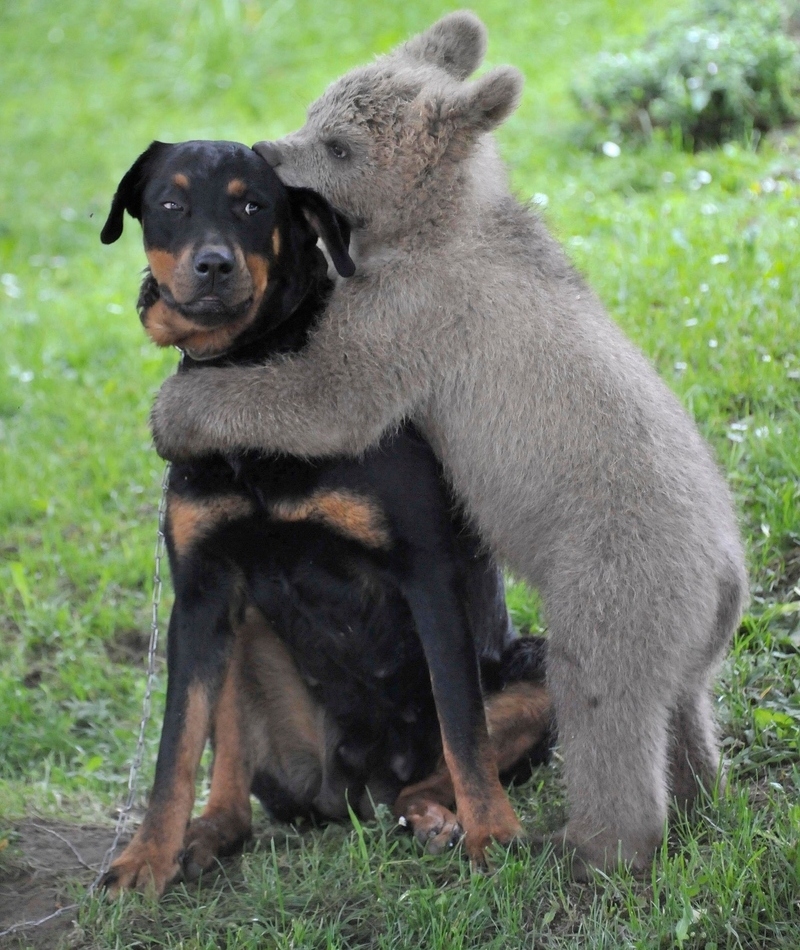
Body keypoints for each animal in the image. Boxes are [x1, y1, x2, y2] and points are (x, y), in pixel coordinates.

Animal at [98, 138, 552, 896]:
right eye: (170, 203)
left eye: (255, 205)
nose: (213, 264)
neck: (250, 376)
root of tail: (357, 789)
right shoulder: (200, 591)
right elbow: (175, 746)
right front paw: (143, 860)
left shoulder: (425, 572)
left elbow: (464, 728)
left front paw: (495, 833)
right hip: (246, 637)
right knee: (236, 784)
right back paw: (206, 835)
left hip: (538, 671)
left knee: (430, 775)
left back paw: (440, 819)